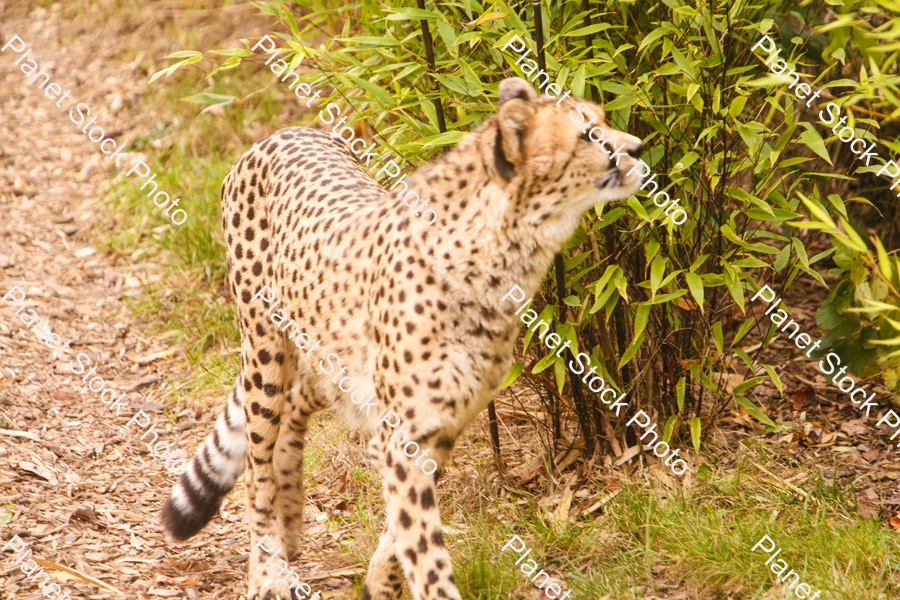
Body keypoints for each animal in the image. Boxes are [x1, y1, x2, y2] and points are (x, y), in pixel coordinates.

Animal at [158, 76, 644, 600]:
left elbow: (404, 530)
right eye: (587, 134)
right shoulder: (403, 433)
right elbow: (423, 544)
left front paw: (380, 583)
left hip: (330, 359)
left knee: (293, 411)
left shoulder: (443, 423)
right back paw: (268, 566)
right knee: (257, 459)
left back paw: (290, 528)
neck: (503, 249)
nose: (639, 147)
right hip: (265, 346)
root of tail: (282, 132)